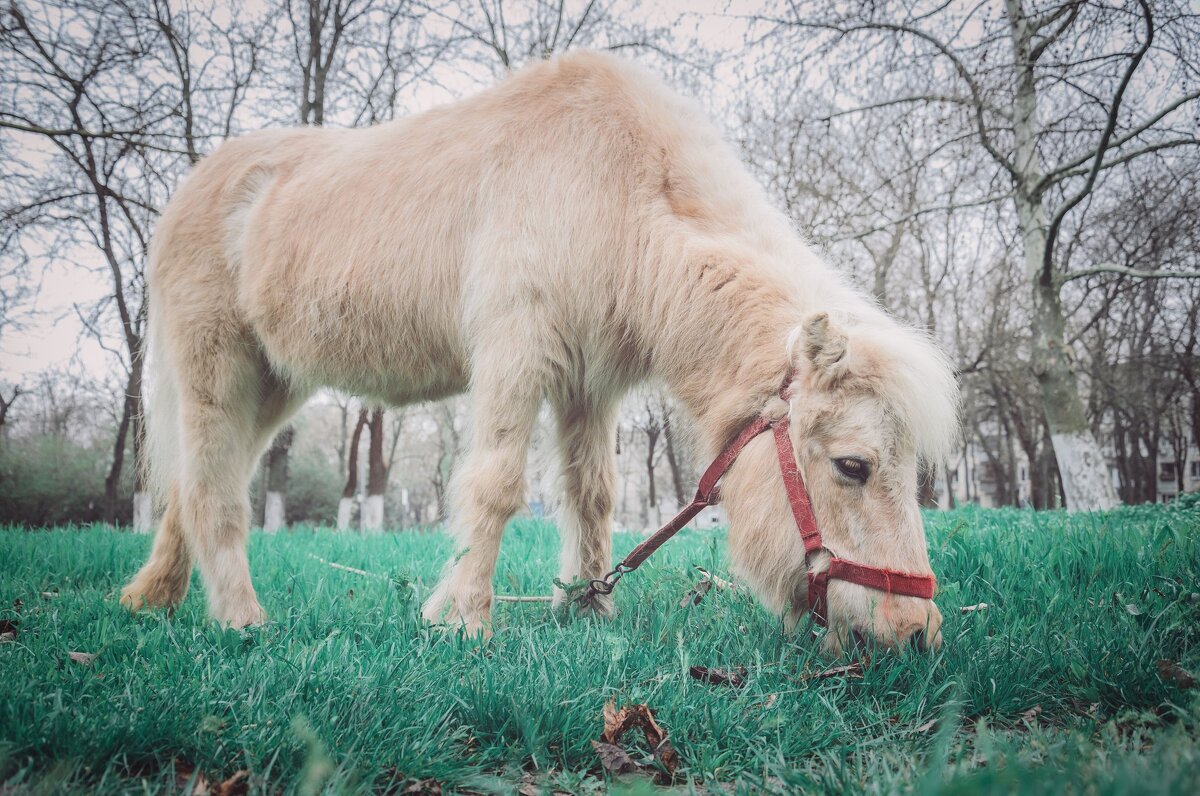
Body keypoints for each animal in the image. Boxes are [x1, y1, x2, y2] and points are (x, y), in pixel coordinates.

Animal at [121, 52, 960, 657]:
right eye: (853, 465)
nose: (914, 634)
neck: (618, 192)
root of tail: (194, 188)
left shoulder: (590, 384)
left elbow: (592, 493)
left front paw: (587, 608)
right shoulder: (515, 357)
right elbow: (495, 486)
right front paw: (462, 618)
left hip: (273, 385)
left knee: (197, 481)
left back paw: (153, 598)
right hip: (216, 371)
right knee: (213, 490)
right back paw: (239, 619)